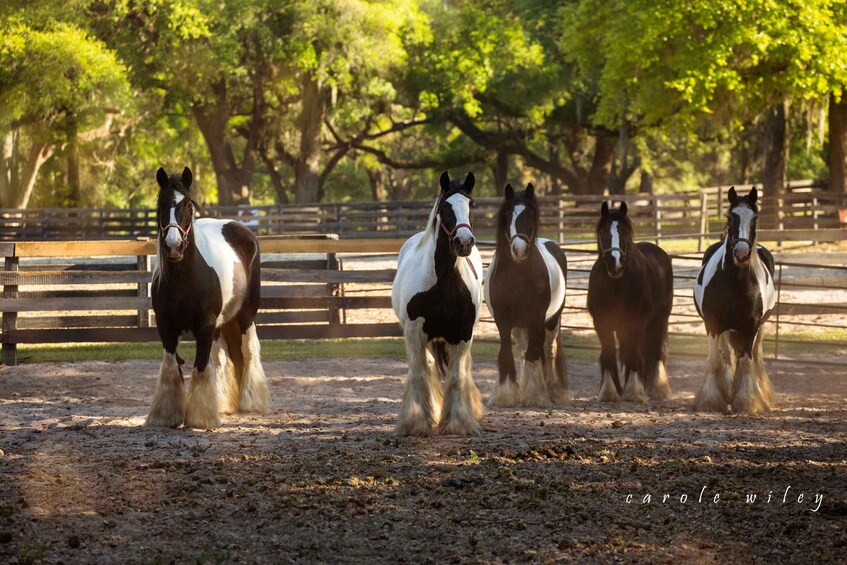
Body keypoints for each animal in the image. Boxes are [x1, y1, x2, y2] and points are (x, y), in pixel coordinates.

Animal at [145, 166, 269, 429]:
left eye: (188, 205)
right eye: (161, 205)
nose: (173, 246)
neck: (185, 279)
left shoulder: (206, 324)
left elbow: (201, 365)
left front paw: (200, 418)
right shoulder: (165, 325)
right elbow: (172, 366)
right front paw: (166, 415)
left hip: (245, 316)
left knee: (247, 351)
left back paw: (250, 401)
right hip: (222, 324)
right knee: (223, 359)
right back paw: (223, 403)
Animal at [391, 171, 484, 436]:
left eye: (472, 204)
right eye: (445, 206)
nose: (464, 242)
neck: (443, 283)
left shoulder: (463, 334)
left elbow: (457, 377)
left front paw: (457, 423)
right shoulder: (415, 331)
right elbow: (419, 375)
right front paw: (416, 423)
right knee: (427, 368)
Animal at [484, 182, 568, 407]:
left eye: (530, 216)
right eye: (507, 216)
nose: (518, 249)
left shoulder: (537, 319)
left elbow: (534, 354)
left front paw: (534, 396)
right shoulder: (503, 321)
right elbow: (506, 353)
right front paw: (505, 396)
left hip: (551, 321)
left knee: (547, 348)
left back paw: (551, 390)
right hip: (520, 326)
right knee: (523, 349)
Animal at [587, 201, 673, 402]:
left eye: (625, 232)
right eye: (604, 232)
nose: (616, 264)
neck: (616, 284)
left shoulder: (636, 321)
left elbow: (634, 354)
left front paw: (634, 391)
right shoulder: (601, 322)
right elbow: (609, 353)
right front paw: (609, 391)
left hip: (660, 319)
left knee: (657, 351)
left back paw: (658, 388)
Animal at [693, 186, 776, 413]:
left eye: (754, 218)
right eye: (731, 217)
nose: (741, 253)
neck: (735, 282)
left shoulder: (751, 326)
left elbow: (747, 362)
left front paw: (747, 401)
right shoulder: (713, 324)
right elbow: (716, 361)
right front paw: (711, 401)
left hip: (759, 328)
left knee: (755, 357)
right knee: (727, 356)